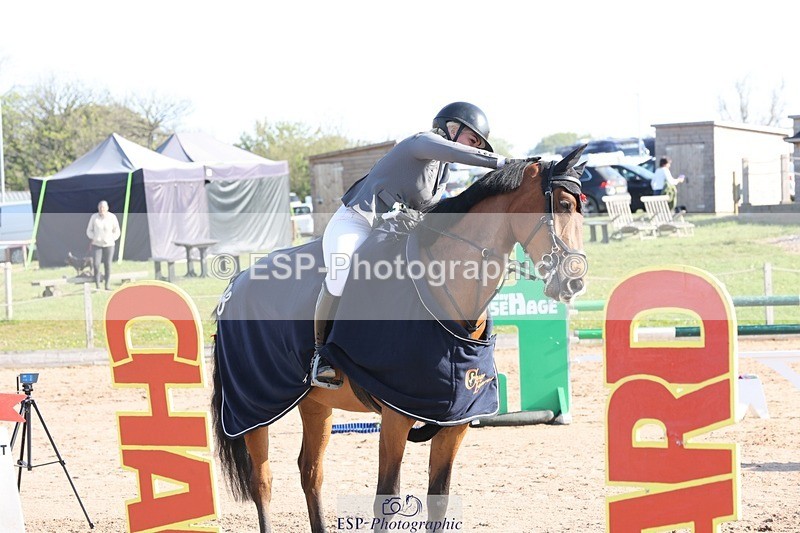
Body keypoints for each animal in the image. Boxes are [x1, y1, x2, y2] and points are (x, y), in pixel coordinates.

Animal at [211, 145, 588, 532]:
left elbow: (439, 500)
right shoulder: (395, 416)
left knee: (310, 471)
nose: (575, 281)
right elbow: (387, 499)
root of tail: (235, 285)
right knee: (262, 480)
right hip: (252, 404)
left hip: (315, 403)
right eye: (563, 204)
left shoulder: (455, 424)